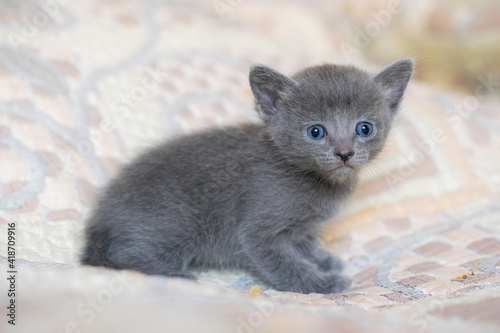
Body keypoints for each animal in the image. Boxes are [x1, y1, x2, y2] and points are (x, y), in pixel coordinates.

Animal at [82, 57, 414, 294]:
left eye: (364, 128)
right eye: (316, 132)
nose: (344, 153)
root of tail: (102, 216)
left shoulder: (302, 227)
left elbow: (304, 245)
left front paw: (323, 260)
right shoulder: (258, 229)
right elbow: (283, 262)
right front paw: (322, 284)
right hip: (179, 223)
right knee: (120, 256)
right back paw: (176, 275)